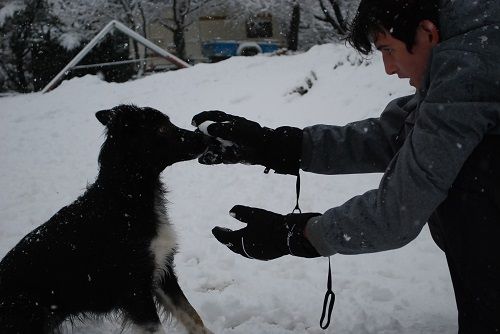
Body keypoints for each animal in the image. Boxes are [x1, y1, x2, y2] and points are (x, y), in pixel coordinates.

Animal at [0, 103, 213, 332]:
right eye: (162, 129)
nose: (206, 138)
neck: (128, 198)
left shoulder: (162, 271)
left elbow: (192, 315)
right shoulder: (134, 287)